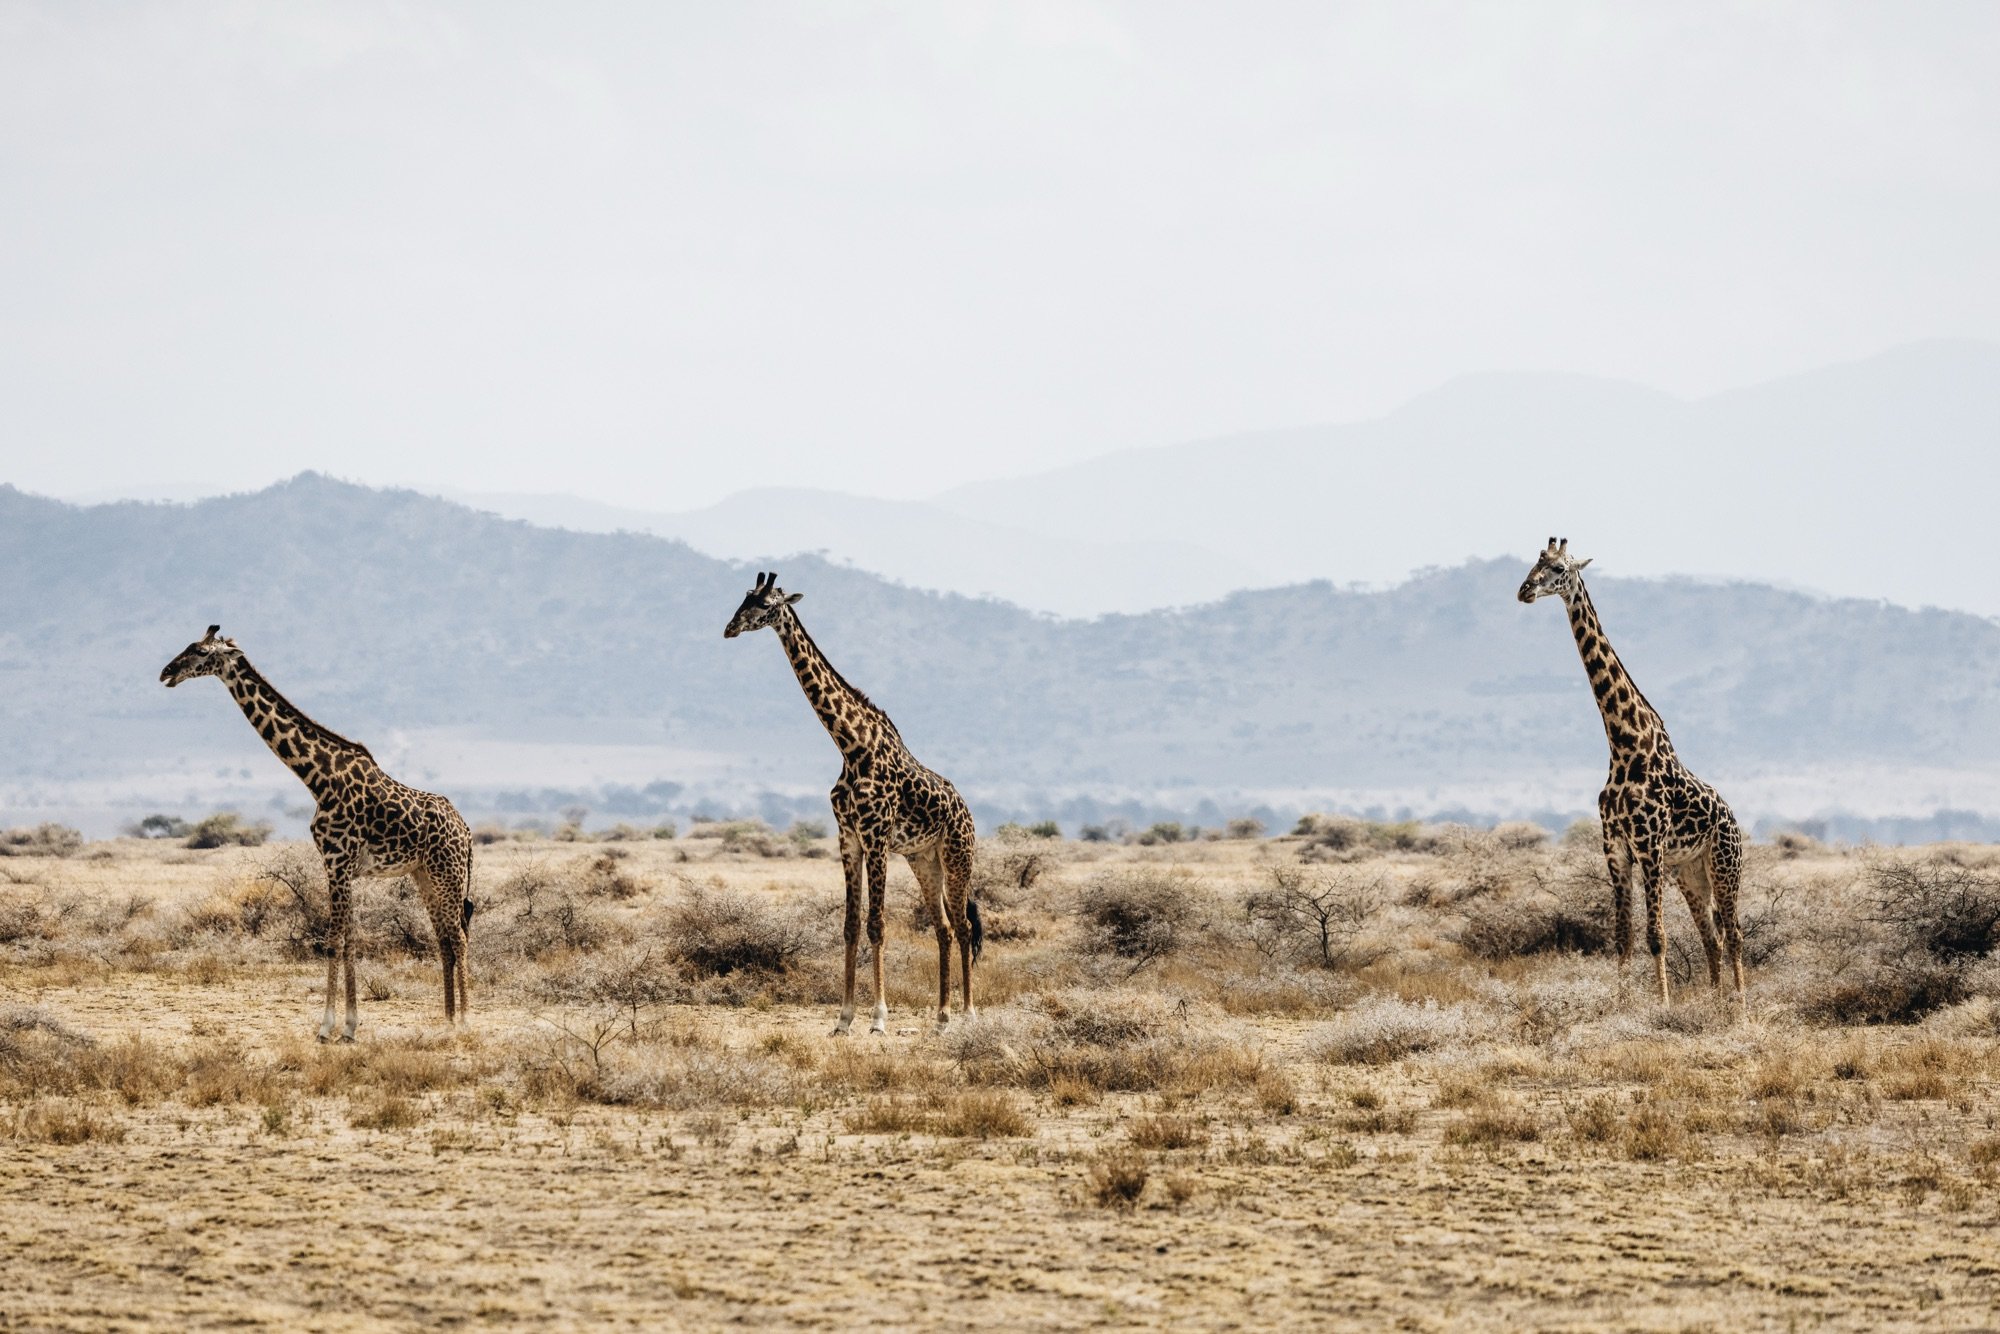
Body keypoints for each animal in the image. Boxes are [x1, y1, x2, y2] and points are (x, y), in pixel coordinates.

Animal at [161, 626, 474, 1040]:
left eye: (199, 651)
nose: (166, 672)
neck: (317, 778)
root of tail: (467, 832)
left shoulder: (338, 861)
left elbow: (333, 941)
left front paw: (329, 1028)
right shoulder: (339, 866)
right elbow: (350, 940)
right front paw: (349, 1025)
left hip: (446, 872)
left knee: (459, 936)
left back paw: (466, 1020)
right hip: (424, 874)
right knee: (443, 939)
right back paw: (448, 1019)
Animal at [724, 572, 980, 1034]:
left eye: (766, 604)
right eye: (743, 598)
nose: (729, 628)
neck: (850, 746)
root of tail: (969, 811)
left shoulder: (876, 838)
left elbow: (876, 924)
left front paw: (878, 1018)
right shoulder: (848, 839)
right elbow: (849, 926)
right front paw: (843, 1019)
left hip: (957, 855)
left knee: (965, 925)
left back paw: (968, 1013)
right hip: (923, 859)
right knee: (944, 928)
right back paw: (941, 1016)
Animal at [1517, 539, 1745, 1007]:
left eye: (1559, 568)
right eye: (1534, 563)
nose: (1524, 590)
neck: (1623, 745)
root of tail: (1735, 819)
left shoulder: (1649, 845)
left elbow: (1656, 935)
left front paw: (1662, 1005)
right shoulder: (1615, 848)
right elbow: (1622, 938)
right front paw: (1621, 1006)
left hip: (1724, 864)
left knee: (1734, 935)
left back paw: (1741, 1007)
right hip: (1690, 871)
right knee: (1711, 937)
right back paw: (1716, 1004)